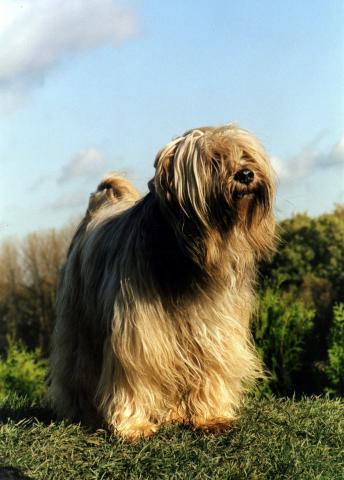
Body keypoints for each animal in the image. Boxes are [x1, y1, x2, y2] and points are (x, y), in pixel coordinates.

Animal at [48, 123, 276, 438]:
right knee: (78, 366)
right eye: (214, 160)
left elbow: (211, 368)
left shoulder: (212, 329)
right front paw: (134, 425)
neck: (185, 255)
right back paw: (81, 411)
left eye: (245, 155)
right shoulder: (139, 334)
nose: (245, 175)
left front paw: (211, 416)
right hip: (79, 319)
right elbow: (134, 374)